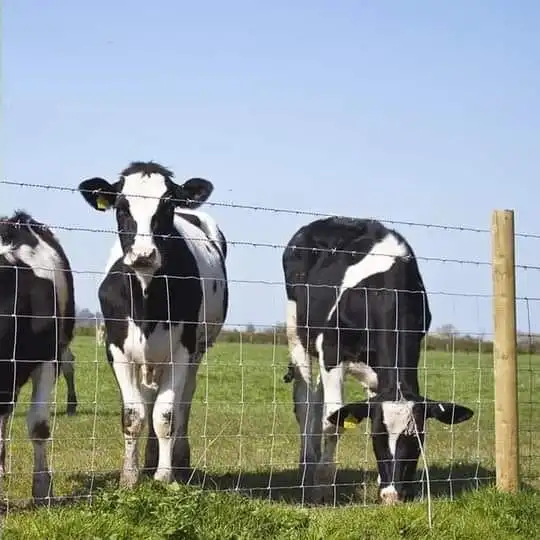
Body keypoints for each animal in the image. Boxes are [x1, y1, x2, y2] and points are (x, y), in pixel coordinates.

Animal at [77, 162, 227, 488]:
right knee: (147, 400)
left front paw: (164, 476)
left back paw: (178, 460)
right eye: (121, 208)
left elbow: (166, 415)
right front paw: (130, 476)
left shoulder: (182, 351)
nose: (144, 255)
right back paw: (147, 459)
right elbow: (134, 414)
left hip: (197, 350)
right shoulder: (117, 350)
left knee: (183, 402)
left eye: (168, 206)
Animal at [282, 217, 472, 504]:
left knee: (316, 399)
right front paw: (323, 487)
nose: (393, 495)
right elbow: (334, 422)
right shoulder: (331, 350)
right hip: (297, 331)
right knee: (305, 404)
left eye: (417, 439)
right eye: (376, 436)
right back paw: (307, 467)